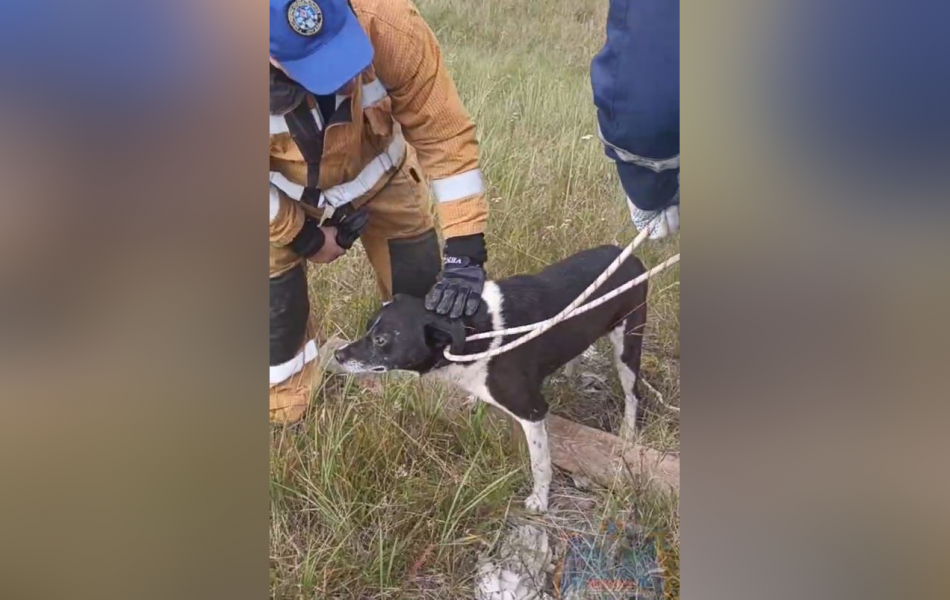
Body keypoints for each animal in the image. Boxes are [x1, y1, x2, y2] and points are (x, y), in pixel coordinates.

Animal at [334, 244, 648, 510]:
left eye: (381, 340)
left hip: (628, 346)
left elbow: (540, 463)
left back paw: (628, 432)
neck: (470, 332)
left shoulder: (532, 410)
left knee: (633, 395)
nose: (337, 354)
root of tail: (631, 256)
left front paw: (540, 499)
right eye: (368, 328)